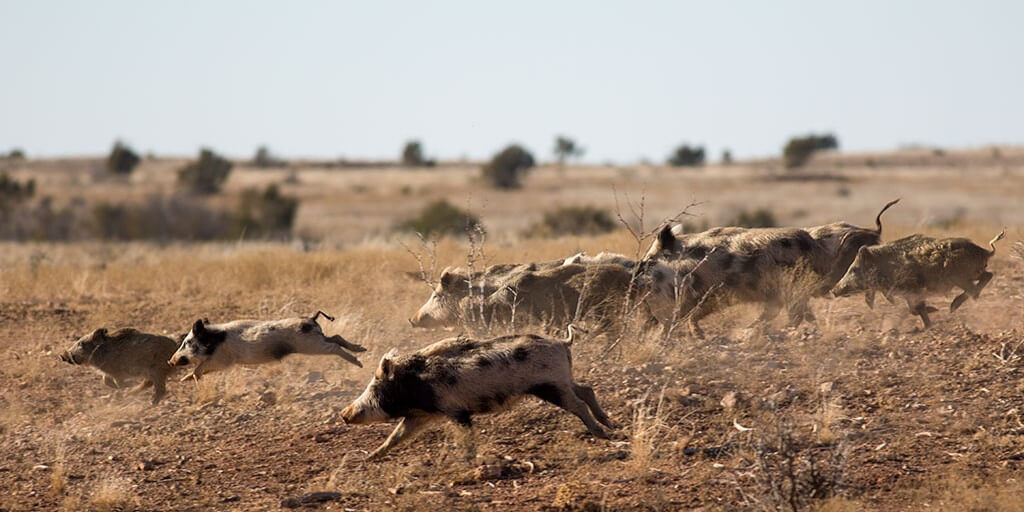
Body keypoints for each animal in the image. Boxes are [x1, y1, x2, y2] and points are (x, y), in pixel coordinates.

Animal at [168, 311, 366, 379]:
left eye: (187, 343)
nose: (170, 361)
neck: (216, 339)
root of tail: (311, 318)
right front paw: (186, 379)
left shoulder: (224, 360)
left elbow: (200, 368)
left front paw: (190, 378)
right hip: (318, 339)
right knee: (336, 337)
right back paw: (362, 349)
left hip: (312, 345)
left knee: (335, 347)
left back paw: (360, 364)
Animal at [340, 327, 613, 460]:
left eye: (375, 387)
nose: (344, 413)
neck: (416, 383)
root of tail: (561, 342)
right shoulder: (420, 415)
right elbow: (396, 437)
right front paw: (369, 458)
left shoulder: (455, 410)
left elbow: (467, 436)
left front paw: (469, 460)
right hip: (563, 380)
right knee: (586, 389)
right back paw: (610, 423)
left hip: (551, 385)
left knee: (578, 403)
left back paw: (604, 434)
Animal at [831, 230, 1005, 328]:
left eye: (854, 269)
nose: (833, 290)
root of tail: (985, 251)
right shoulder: (908, 293)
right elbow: (914, 310)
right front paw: (930, 320)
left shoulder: (912, 288)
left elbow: (916, 308)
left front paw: (932, 316)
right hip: (971, 274)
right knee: (988, 275)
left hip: (960, 277)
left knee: (977, 284)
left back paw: (954, 306)